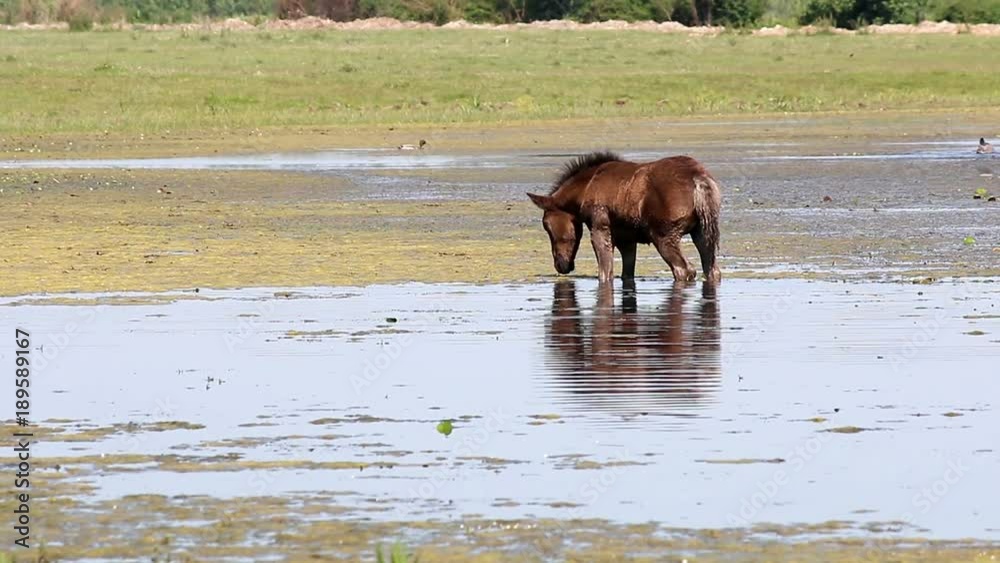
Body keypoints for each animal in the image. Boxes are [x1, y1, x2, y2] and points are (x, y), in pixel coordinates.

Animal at [527, 151, 722, 284]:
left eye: (546, 225)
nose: (561, 265)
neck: (580, 195)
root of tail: (700, 180)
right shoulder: (626, 238)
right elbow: (626, 273)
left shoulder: (600, 227)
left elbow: (605, 273)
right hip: (702, 231)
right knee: (712, 269)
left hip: (664, 234)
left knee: (685, 270)